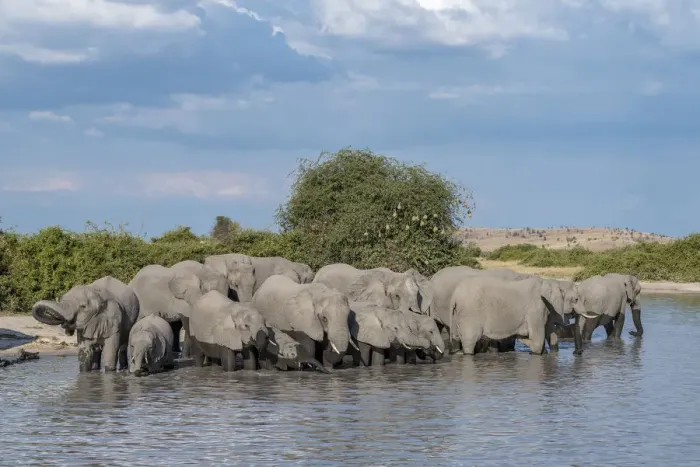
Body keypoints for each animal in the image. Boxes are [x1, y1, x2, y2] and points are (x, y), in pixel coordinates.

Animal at [449, 275, 587, 356]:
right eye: (576, 299)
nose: (577, 353)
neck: (553, 282)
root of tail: (454, 295)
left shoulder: (546, 307)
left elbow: (548, 332)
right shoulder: (536, 307)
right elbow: (538, 339)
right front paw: (525, 340)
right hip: (470, 313)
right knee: (470, 340)